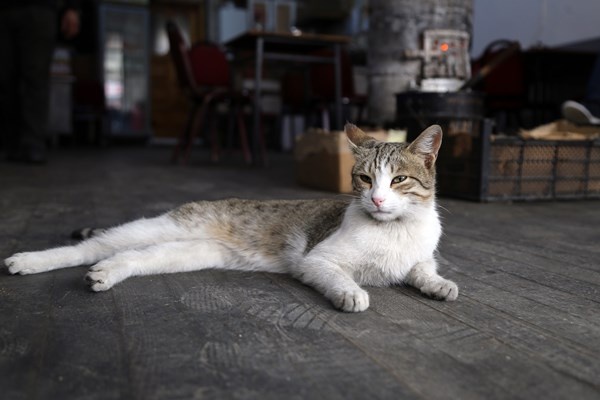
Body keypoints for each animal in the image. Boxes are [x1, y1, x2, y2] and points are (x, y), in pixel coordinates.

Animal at [3, 123, 460, 310]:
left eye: (399, 179)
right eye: (365, 178)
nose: (378, 200)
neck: (393, 230)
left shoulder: (420, 256)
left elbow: (422, 269)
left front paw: (439, 285)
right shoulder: (317, 259)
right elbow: (338, 276)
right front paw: (351, 293)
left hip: (188, 252)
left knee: (133, 257)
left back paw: (104, 274)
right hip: (160, 227)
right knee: (93, 244)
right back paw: (28, 261)